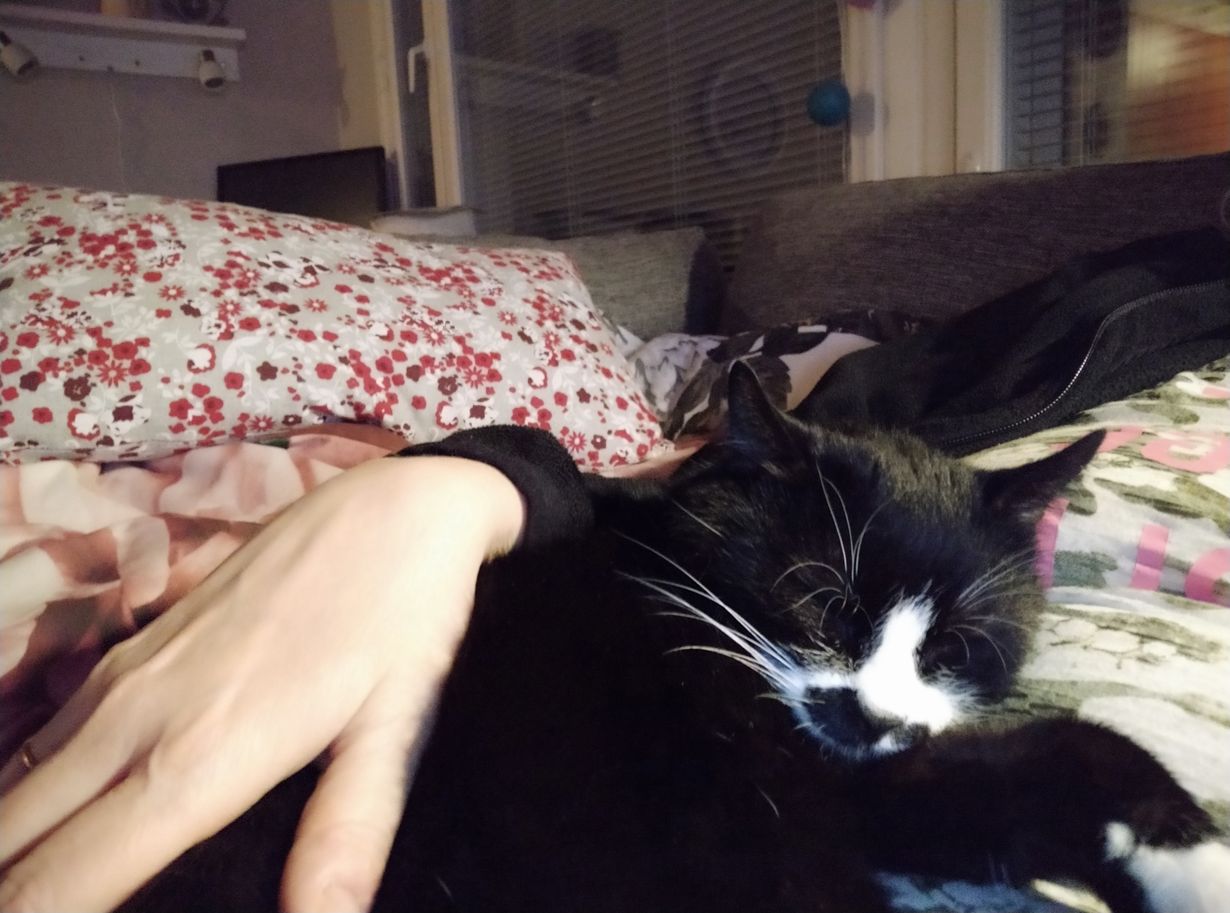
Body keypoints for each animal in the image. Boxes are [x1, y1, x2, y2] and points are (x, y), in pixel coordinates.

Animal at [120, 365, 1229, 913]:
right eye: (822, 605)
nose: (872, 715)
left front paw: (1184, 860)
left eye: (952, 651)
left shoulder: (854, 777)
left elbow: (1025, 766)